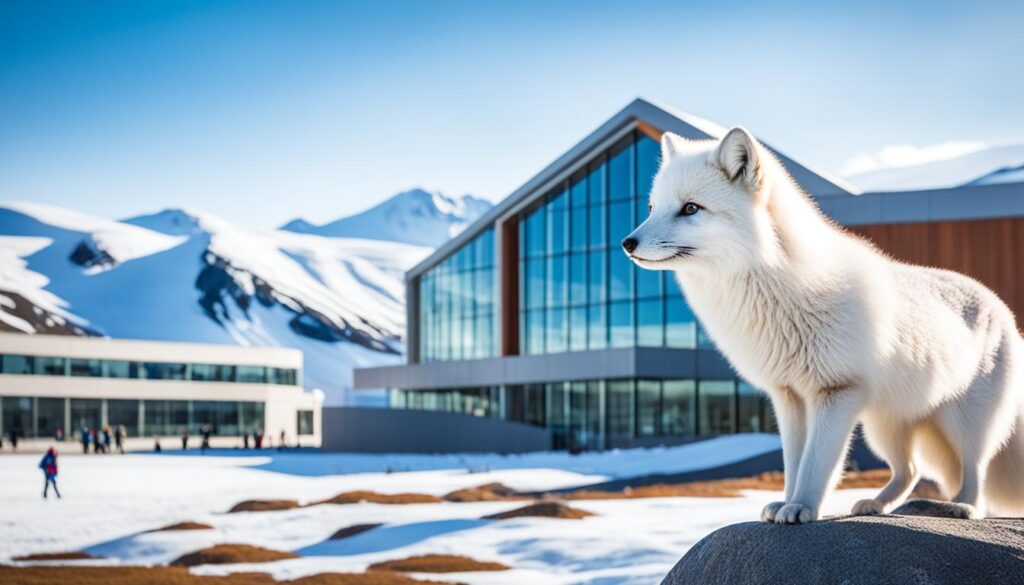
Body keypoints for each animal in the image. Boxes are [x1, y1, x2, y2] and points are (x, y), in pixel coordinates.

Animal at [622, 126, 1024, 524]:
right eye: (652, 208)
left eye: (690, 208)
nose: (627, 243)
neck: (776, 288)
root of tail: (1002, 308)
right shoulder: (788, 396)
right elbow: (794, 462)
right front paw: (786, 503)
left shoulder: (836, 391)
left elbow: (817, 462)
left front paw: (802, 507)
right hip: (885, 425)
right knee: (908, 470)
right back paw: (874, 504)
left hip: (964, 423)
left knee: (976, 472)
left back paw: (962, 506)